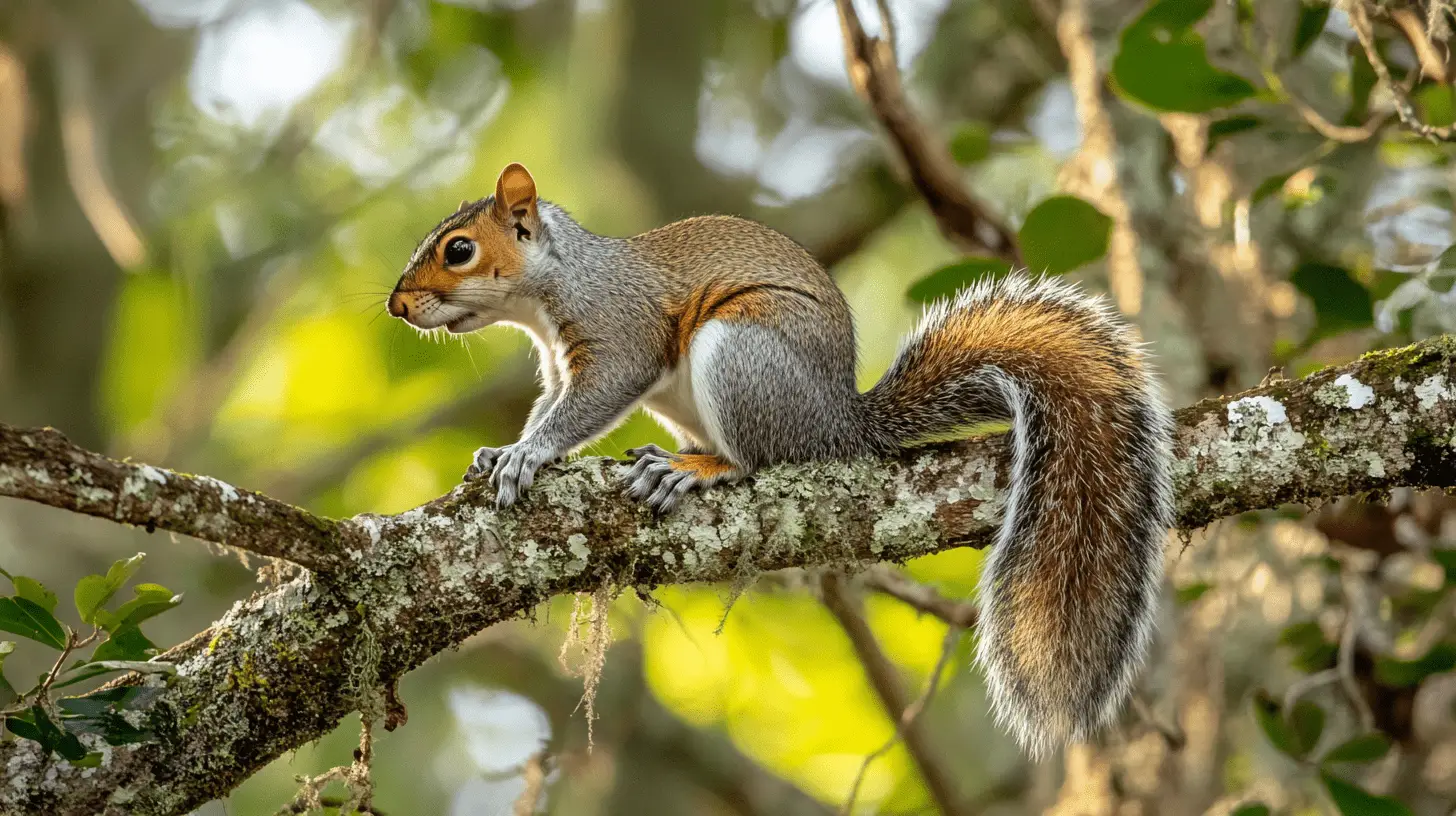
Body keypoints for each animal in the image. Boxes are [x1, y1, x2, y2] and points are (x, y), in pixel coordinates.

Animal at [384, 161, 1170, 757]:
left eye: (458, 250)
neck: (555, 286)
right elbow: (550, 404)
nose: (396, 305)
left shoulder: (619, 332)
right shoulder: (555, 365)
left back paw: (698, 468)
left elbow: (588, 403)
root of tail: (842, 425)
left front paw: (528, 454)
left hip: (740, 355)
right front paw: (503, 447)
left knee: (760, 459)